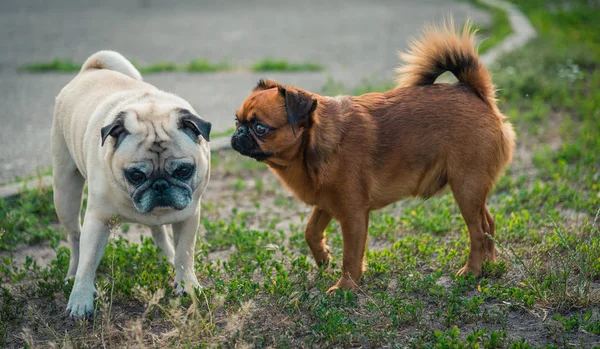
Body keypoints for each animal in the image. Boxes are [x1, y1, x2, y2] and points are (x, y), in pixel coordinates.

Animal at [232, 21, 512, 294]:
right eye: (237, 121)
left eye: (260, 128)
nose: (238, 133)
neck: (312, 145)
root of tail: (476, 93)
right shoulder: (326, 203)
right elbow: (310, 231)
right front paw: (323, 258)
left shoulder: (353, 215)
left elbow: (351, 256)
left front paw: (346, 287)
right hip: (472, 190)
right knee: (489, 224)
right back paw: (490, 264)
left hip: (465, 187)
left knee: (478, 232)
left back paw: (472, 271)